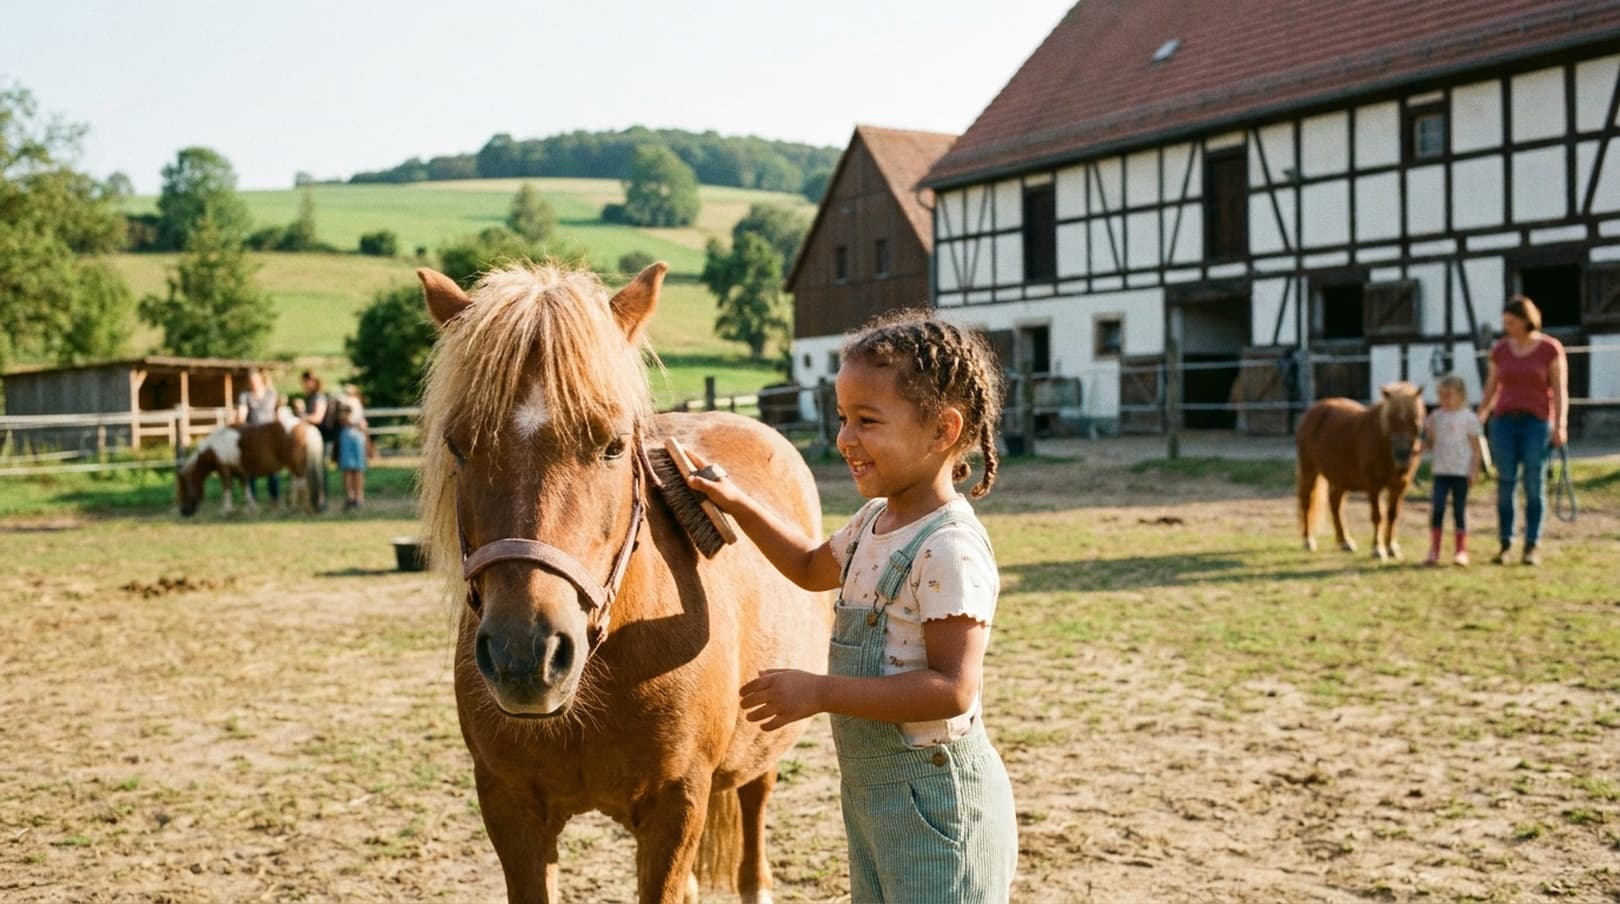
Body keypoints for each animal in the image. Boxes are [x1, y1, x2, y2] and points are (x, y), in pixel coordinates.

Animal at [176, 411, 325, 516]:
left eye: (184, 489)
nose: (184, 511)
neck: (216, 447)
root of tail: (307, 427)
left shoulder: (224, 471)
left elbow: (227, 490)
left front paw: (226, 511)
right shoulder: (241, 472)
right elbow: (247, 490)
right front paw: (252, 509)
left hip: (297, 467)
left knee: (301, 486)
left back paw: (303, 509)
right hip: (294, 467)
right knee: (296, 484)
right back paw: (293, 508)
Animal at [415, 261, 832, 904]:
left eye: (612, 445)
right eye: (458, 445)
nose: (525, 655)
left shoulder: (675, 808)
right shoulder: (511, 810)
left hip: (761, 750)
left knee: (754, 833)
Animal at [1295, 381, 1426, 560]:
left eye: (1415, 419)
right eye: (1391, 420)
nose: (1402, 456)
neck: (1382, 442)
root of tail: (1313, 411)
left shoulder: (1399, 486)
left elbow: (1392, 515)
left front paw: (1392, 548)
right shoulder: (1373, 485)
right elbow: (1377, 516)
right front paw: (1378, 549)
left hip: (1340, 477)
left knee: (1335, 504)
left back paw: (1345, 542)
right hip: (1309, 471)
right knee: (1306, 502)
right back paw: (1308, 540)